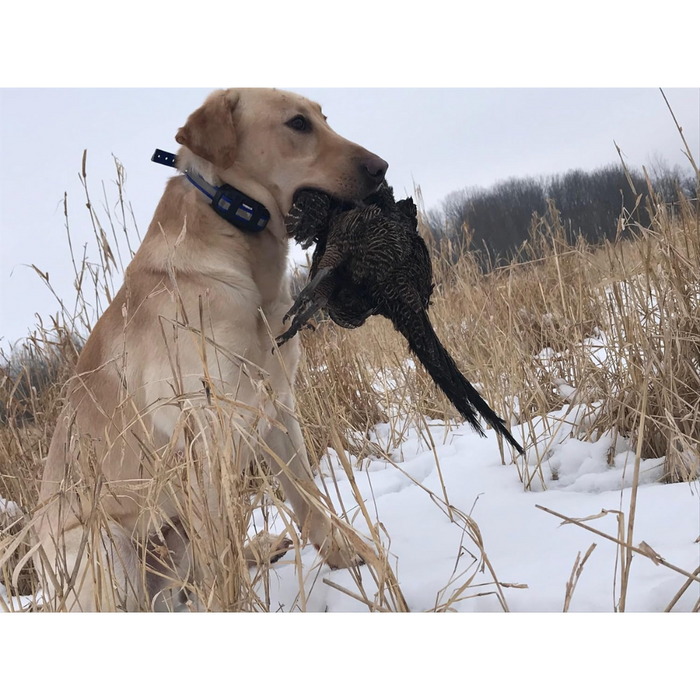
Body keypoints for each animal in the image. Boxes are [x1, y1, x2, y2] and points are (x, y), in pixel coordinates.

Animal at [34, 89, 388, 612]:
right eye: (297, 124)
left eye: (324, 117)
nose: (381, 168)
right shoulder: (204, 429)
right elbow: (220, 551)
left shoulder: (277, 406)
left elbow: (309, 498)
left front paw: (351, 555)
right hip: (105, 545)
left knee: (187, 584)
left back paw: (262, 547)